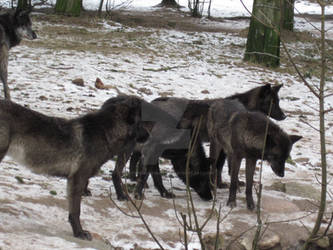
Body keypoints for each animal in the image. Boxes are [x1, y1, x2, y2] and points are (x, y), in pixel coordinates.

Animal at [0, 95, 147, 240]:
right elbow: (76, 211)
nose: (149, 135)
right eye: (142, 121)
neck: (106, 132)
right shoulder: (77, 179)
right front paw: (79, 233)